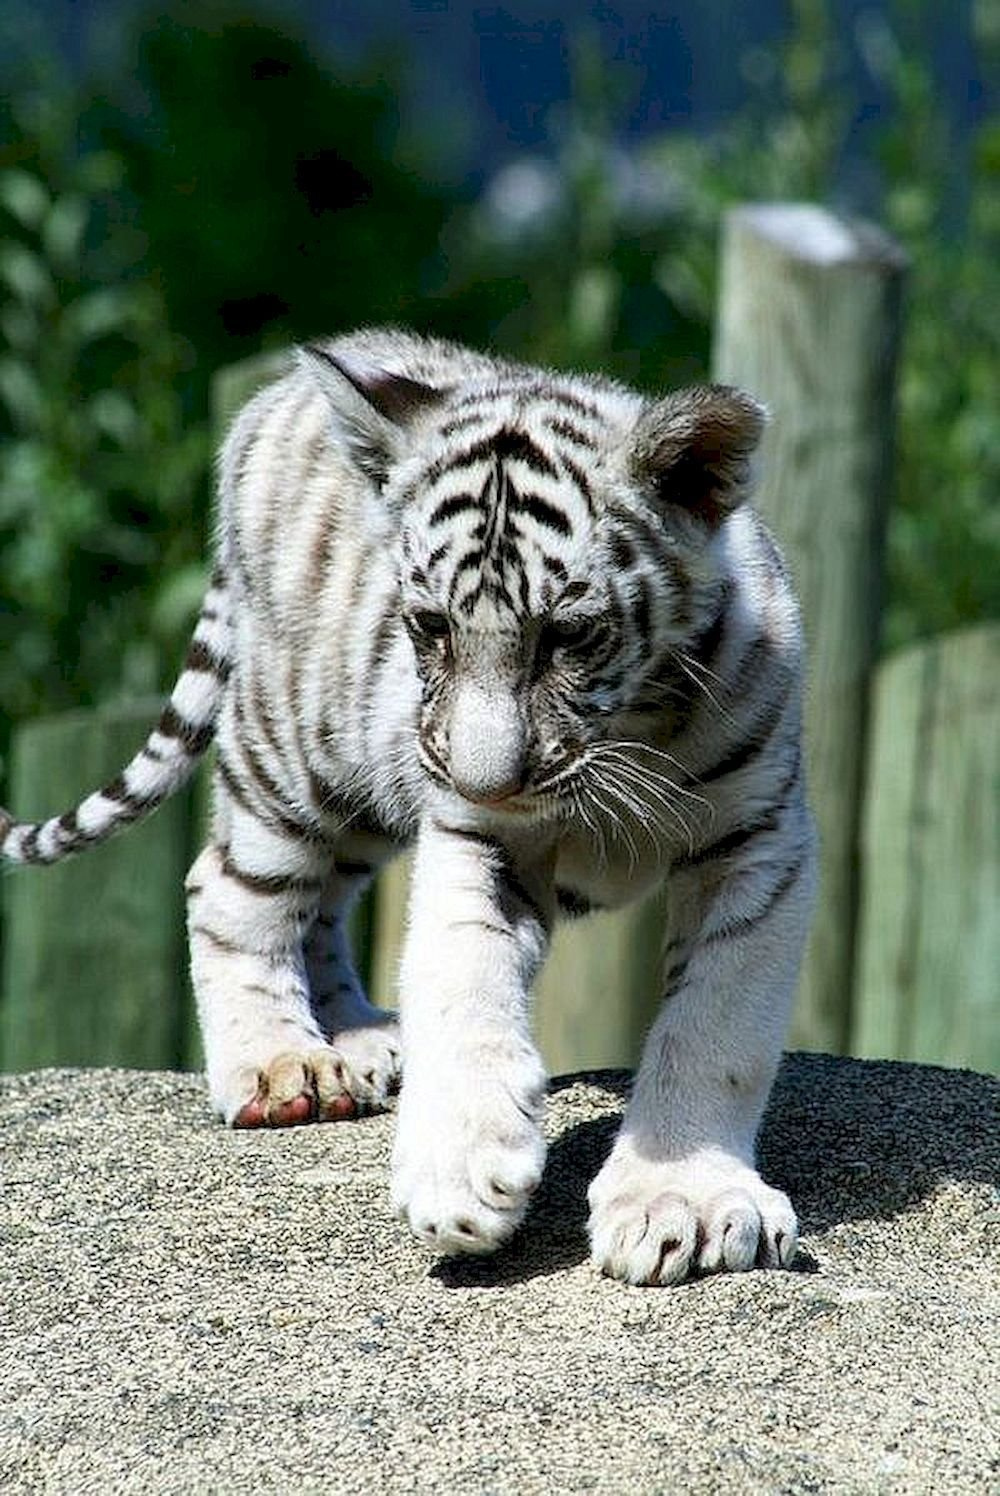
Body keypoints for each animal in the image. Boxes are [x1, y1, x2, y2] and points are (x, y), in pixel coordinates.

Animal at [0, 328, 816, 1286]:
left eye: (568, 636)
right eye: (430, 627)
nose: (485, 780)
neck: (630, 731)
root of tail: (270, 401)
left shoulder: (756, 846)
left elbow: (716, 1029)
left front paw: (678, 1197)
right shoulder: (477, 838)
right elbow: (458, 979)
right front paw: (459, 1173)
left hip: (364, 802)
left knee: (320, 905)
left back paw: (354, 1040)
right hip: (302, 752)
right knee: (228, 888)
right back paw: (281, 1064)